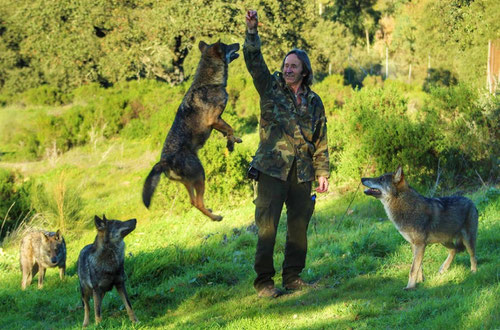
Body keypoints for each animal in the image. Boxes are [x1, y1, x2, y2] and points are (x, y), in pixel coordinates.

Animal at [142, 41, 241, 222]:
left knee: (193, 201)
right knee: (198, 202)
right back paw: (216, 217)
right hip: (200, 175)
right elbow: (230, 128)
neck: (208, 82)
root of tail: (164, 162)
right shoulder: (214, 119)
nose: (238, 43)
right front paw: (231, 144)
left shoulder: (217, 121)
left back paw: (211, 212)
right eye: (227, 45)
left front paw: (234, 140)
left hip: (188, 182)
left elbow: (228, 130)